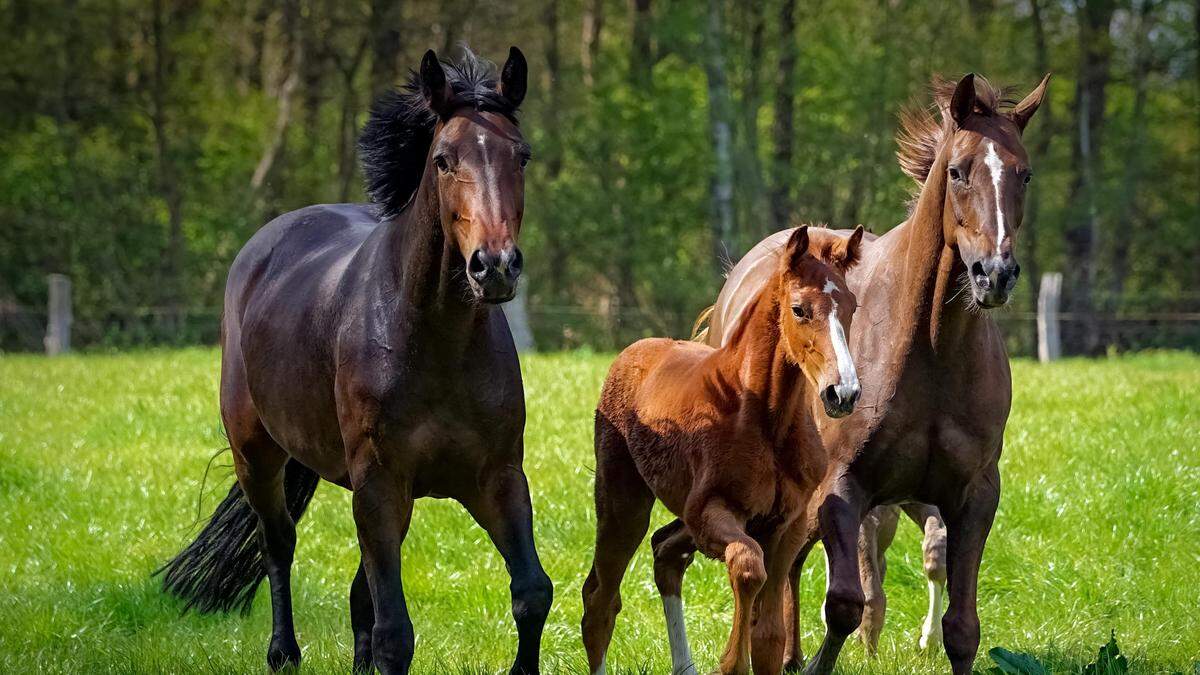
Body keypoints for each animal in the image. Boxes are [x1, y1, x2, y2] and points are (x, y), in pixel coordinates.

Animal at [158, 48, 552, 672]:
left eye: (522, 155)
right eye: (443, 160)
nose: (494, 266)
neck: (434, 344)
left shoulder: (497, 477)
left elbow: (532, 593)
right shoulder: (379, 482)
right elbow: (396, 634)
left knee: (356, 591)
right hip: (257, 454)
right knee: (278, 545)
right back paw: (283, 653)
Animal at [580, 225, 864, 672]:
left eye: (851, 307)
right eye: (799, 310)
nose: (844, 392)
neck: (765, 419)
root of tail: (633, 351)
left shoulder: (788, 523)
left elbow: (769, 636)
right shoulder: (709, 512)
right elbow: (748, 566)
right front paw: (731, 662)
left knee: (664, 555)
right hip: (623, 503)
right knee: (600, 600)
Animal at [696, 70, 1051, 667]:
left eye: (1023, 174)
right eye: (958, 171)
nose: (995, 274)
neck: (931, 353)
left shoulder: (973, 496)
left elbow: (962, 627)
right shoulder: (844, 489)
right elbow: (845, 603)